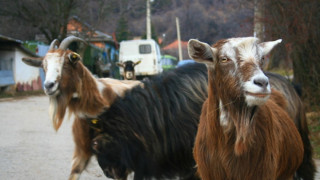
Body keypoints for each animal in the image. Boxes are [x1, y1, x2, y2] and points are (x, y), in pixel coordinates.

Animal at [22, 35, 140, 179]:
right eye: (44, 66)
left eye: (66, 63)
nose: (49, 86)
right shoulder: (82, 153)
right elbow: (74, 172)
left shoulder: (121, 162)